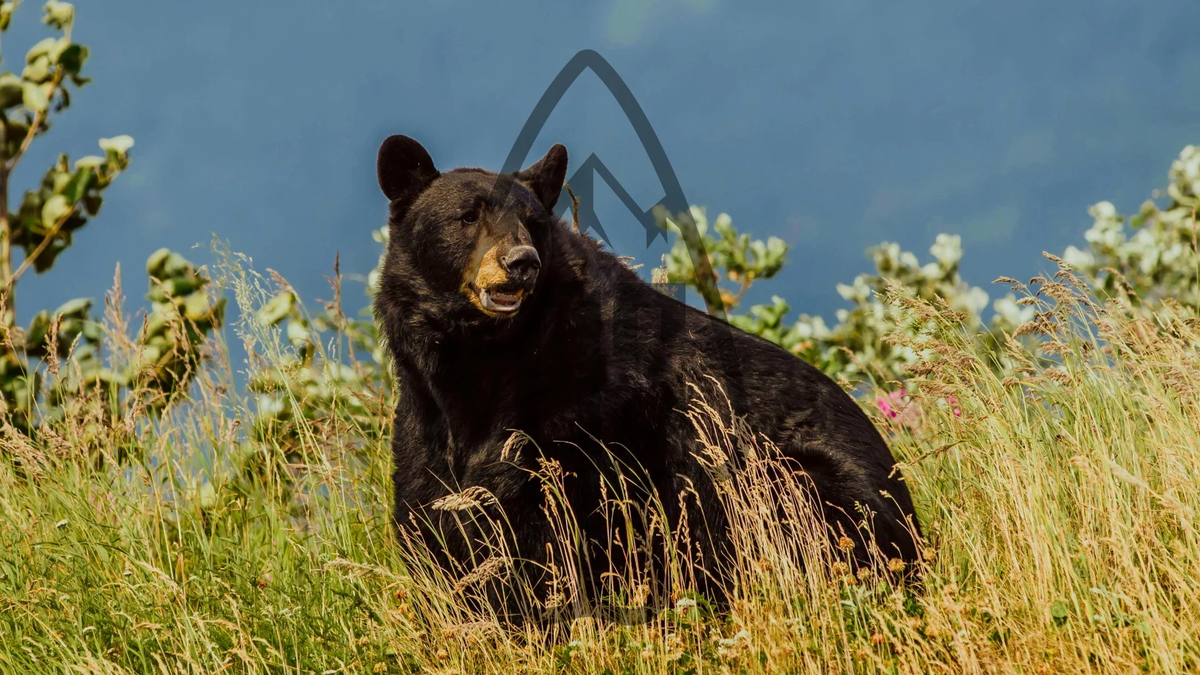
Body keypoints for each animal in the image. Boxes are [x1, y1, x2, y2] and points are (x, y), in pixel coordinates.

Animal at [372, 134, 922, 622]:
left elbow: (546, 521)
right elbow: (431, 512)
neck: (483, 361)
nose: (521, 262)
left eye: (533, 224)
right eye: (468, 217)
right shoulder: (424, 417)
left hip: (801, 485)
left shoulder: (587, 415)